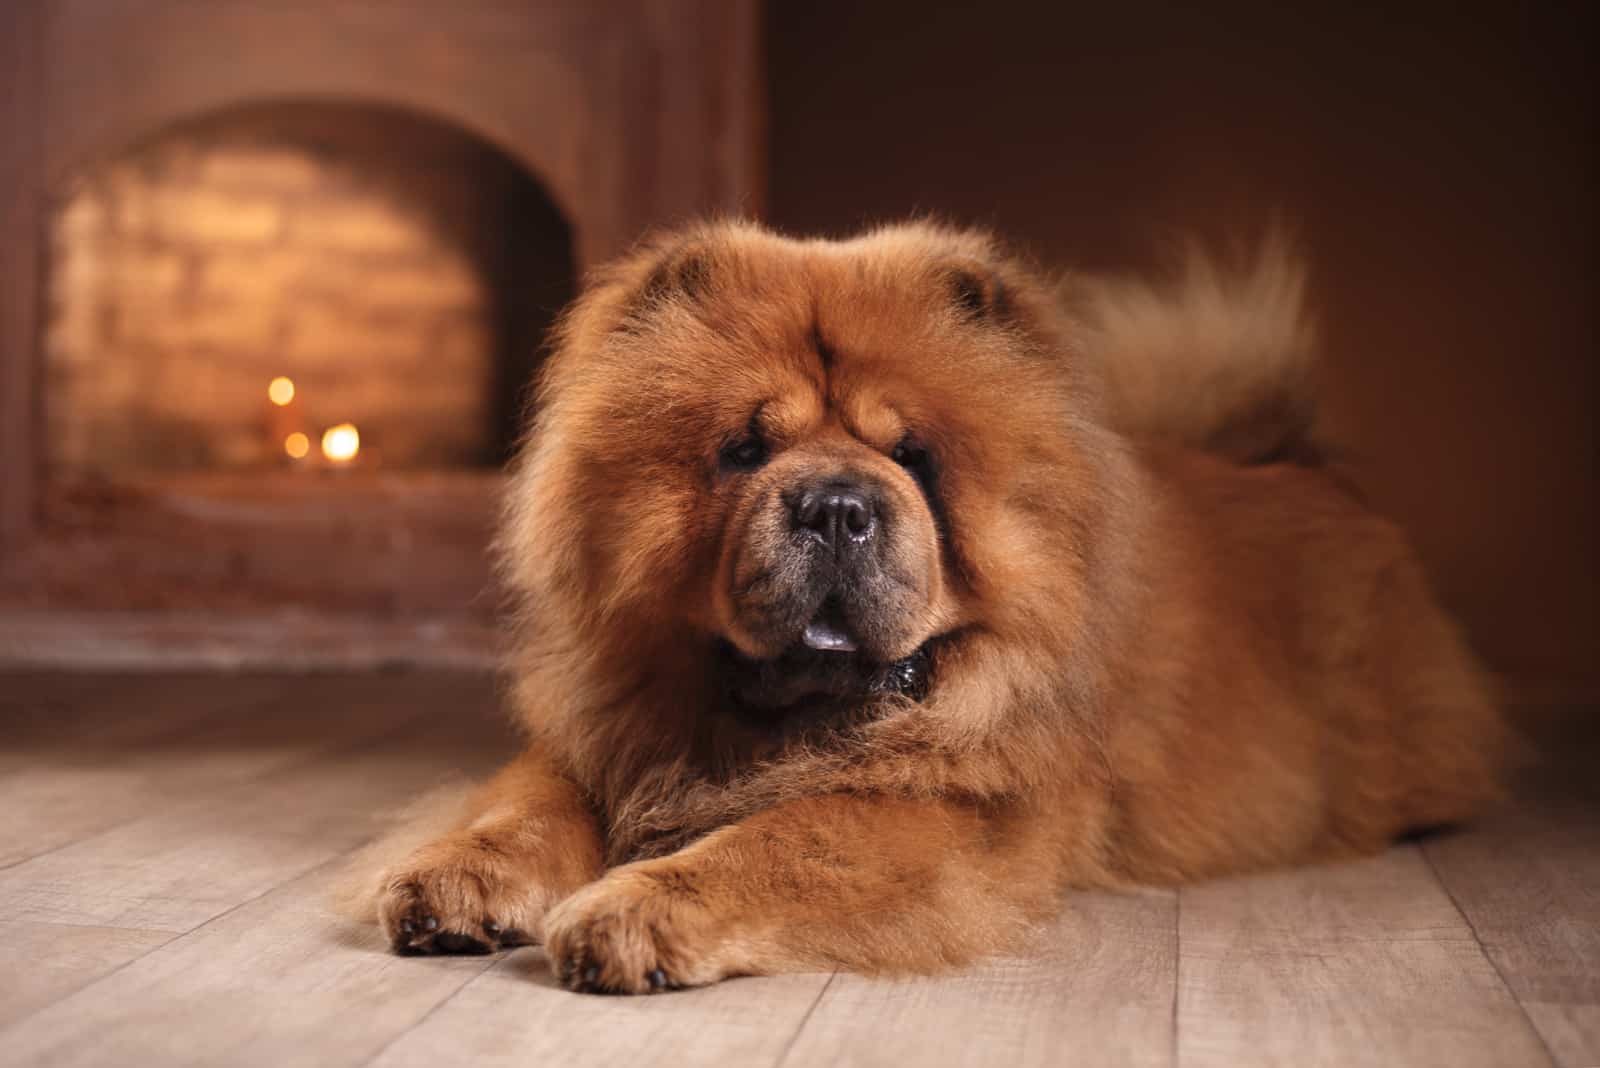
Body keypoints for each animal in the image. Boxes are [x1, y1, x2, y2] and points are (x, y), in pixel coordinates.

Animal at [344, 217, 1504, 991]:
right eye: (743, 451)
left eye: (913, 458)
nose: (835, 505)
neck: (770, 721)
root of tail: (1298, 461)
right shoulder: (599, 737)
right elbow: (524, 806)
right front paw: (455, 882)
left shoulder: (951, 815)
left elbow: (781, 838)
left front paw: (629, 915)